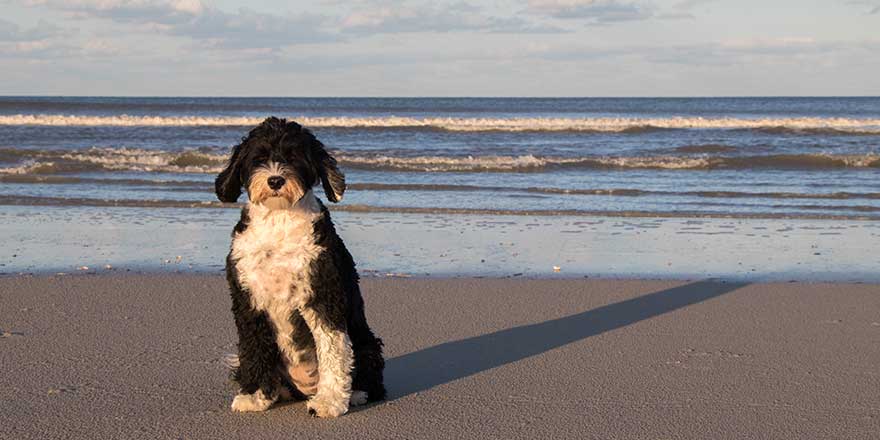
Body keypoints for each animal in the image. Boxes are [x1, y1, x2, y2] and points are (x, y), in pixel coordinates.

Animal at [215, 116, 384, 416]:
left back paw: (354, 394)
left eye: (294, 157)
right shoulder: (247, 300)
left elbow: (332, 348)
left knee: (369, 378)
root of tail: (303, 389)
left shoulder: (323, 294)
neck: (279, 219)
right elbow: (253, 346)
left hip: (367, 345)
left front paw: (329, 402)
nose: (275, 180)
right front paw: (254, 395)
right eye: (259, 158)